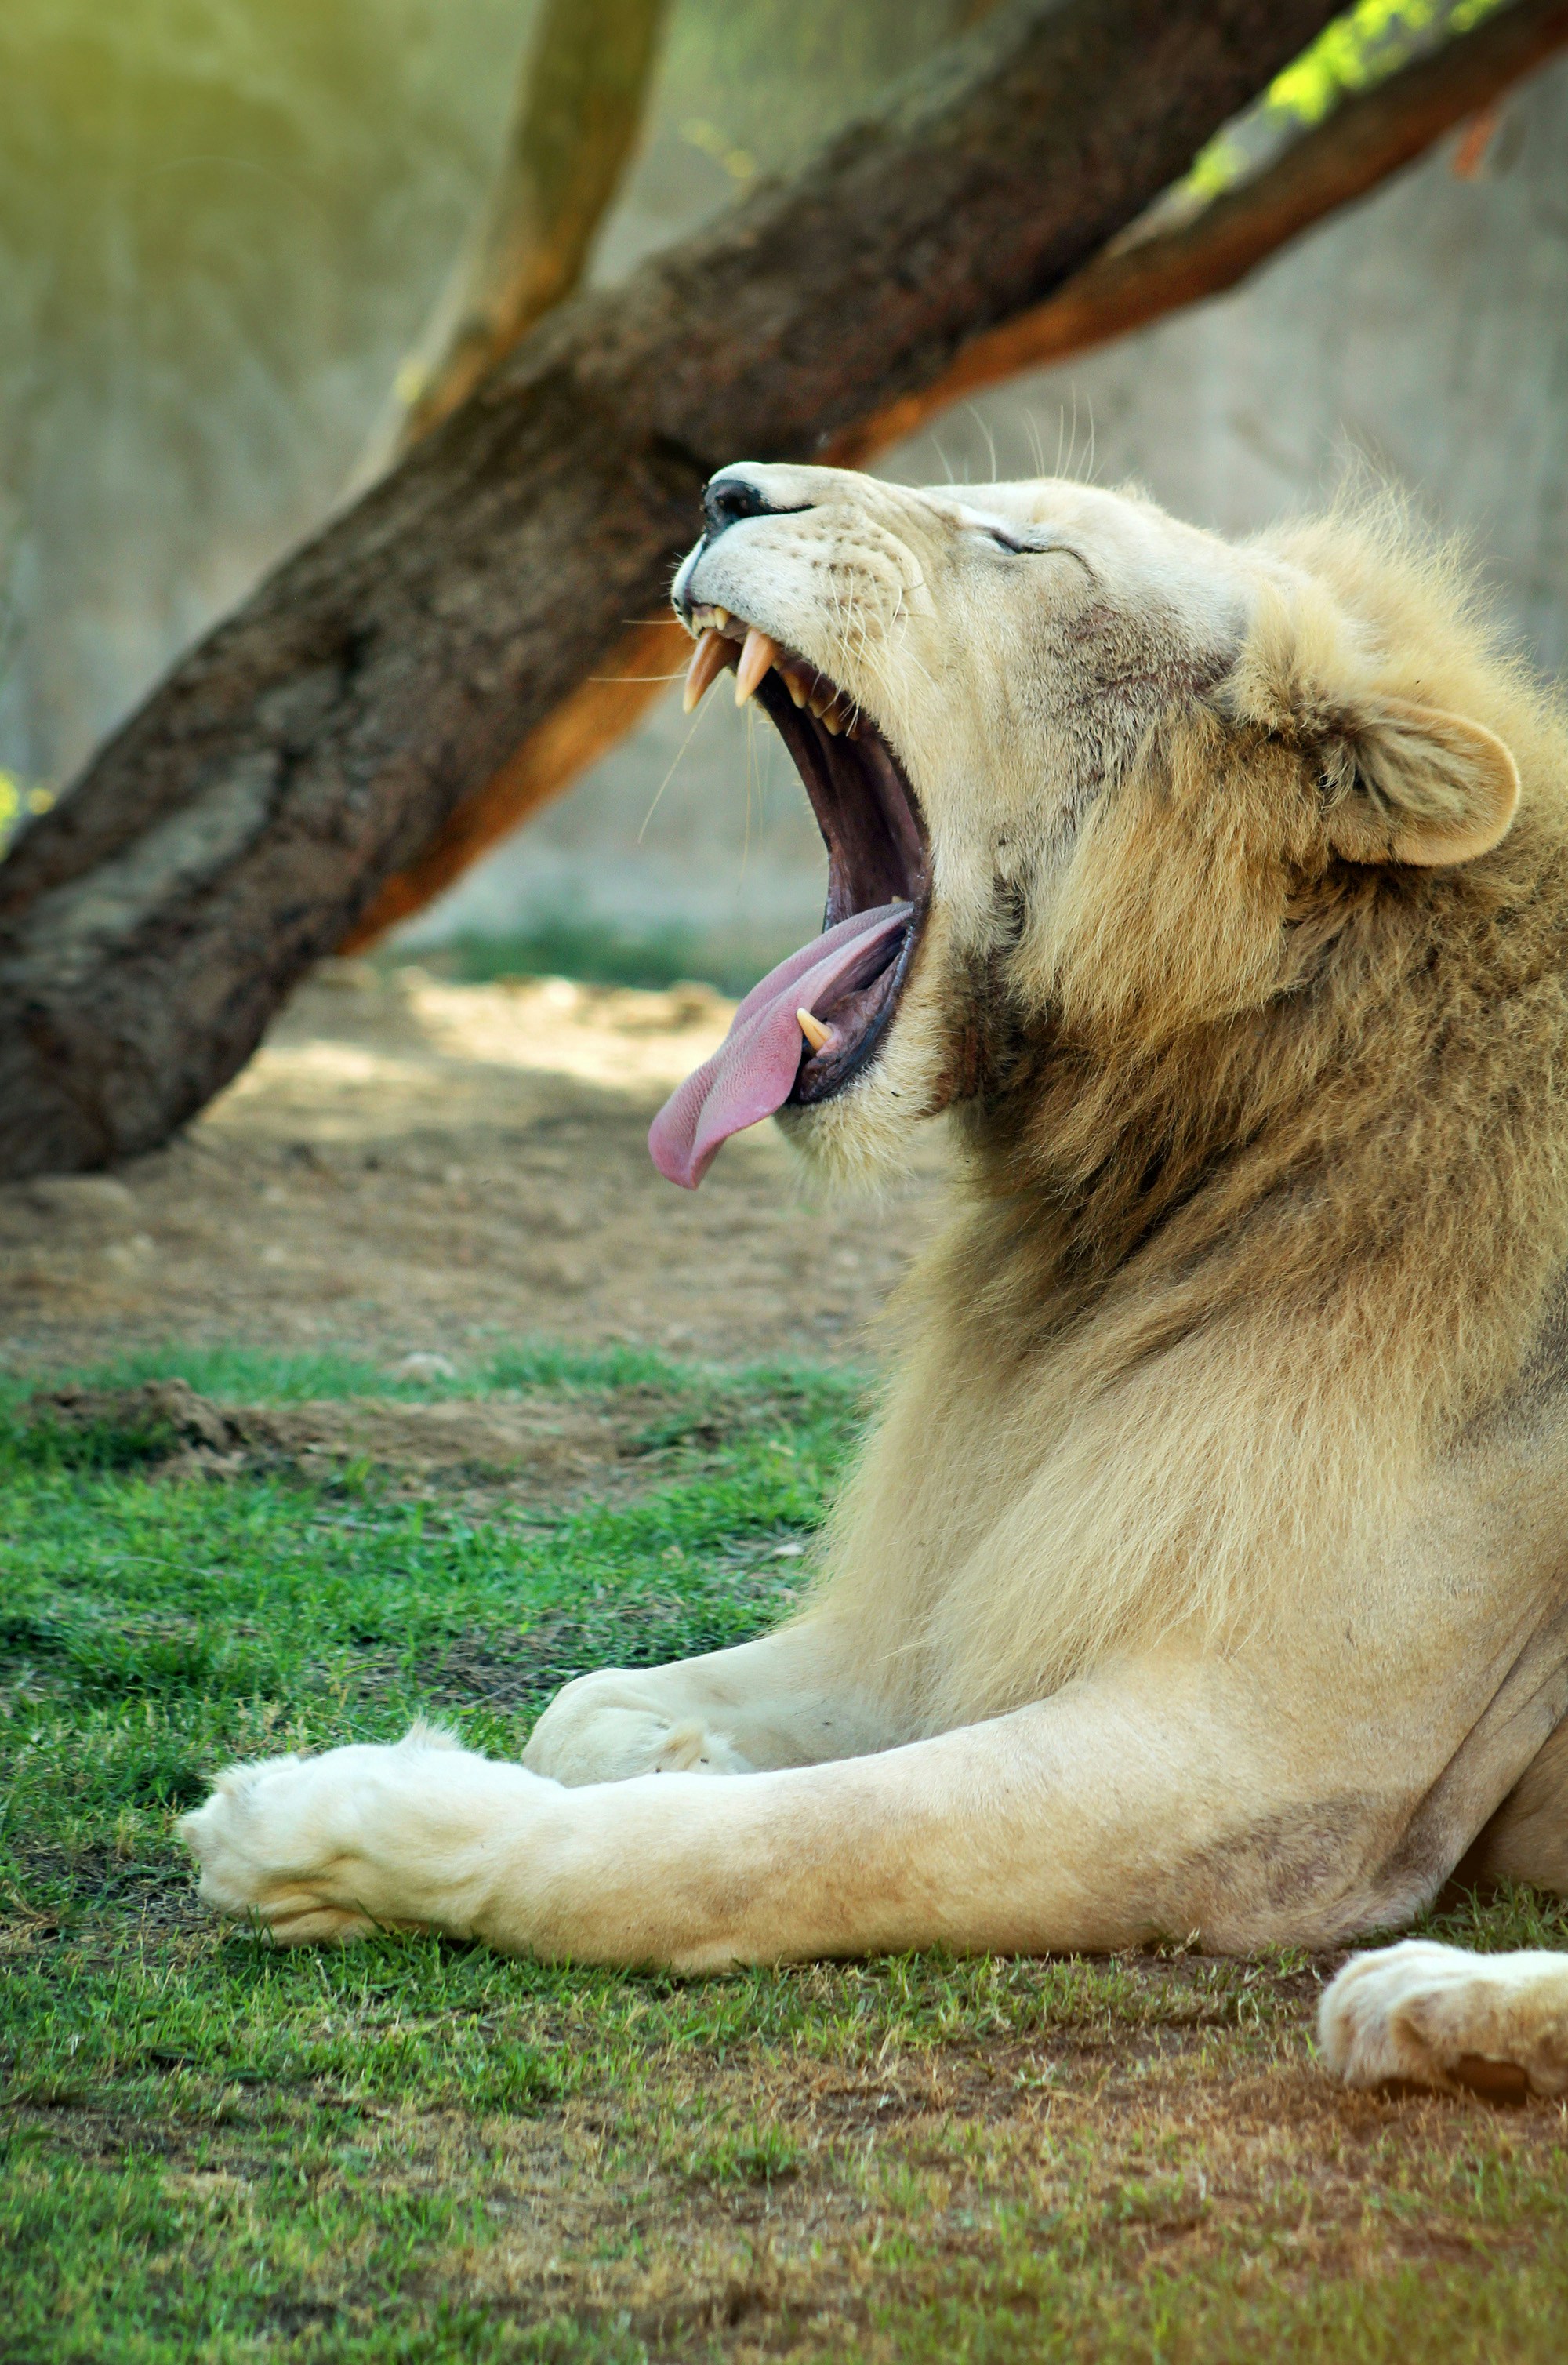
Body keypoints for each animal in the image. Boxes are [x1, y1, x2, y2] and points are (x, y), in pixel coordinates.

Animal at [182, 463, 1568, 2098]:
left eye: (1022, 542)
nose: (724, 487)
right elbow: (590, 1708)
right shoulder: (999, 1563)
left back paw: (1427, 1997)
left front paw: (320, 1827)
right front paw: (678, 1746)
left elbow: (734, 1850)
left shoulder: (1276, 1772)